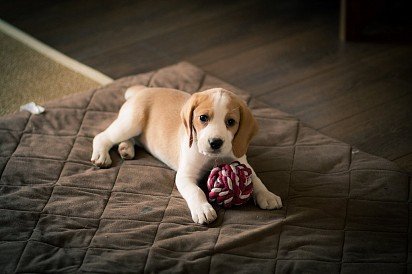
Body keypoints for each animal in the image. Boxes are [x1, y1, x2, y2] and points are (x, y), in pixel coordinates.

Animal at [91, 86, 282, 224]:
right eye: (203, 118)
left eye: (230, 122)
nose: (215, 142)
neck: (212, 157)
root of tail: (144, 89)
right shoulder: (185, 177)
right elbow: (196, 191)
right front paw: (203, 209)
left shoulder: (242, 162)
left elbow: (256, 179)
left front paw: (268, 195)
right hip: (131, 122)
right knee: (102, 136)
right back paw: (102, 155)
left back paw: (126, 148)